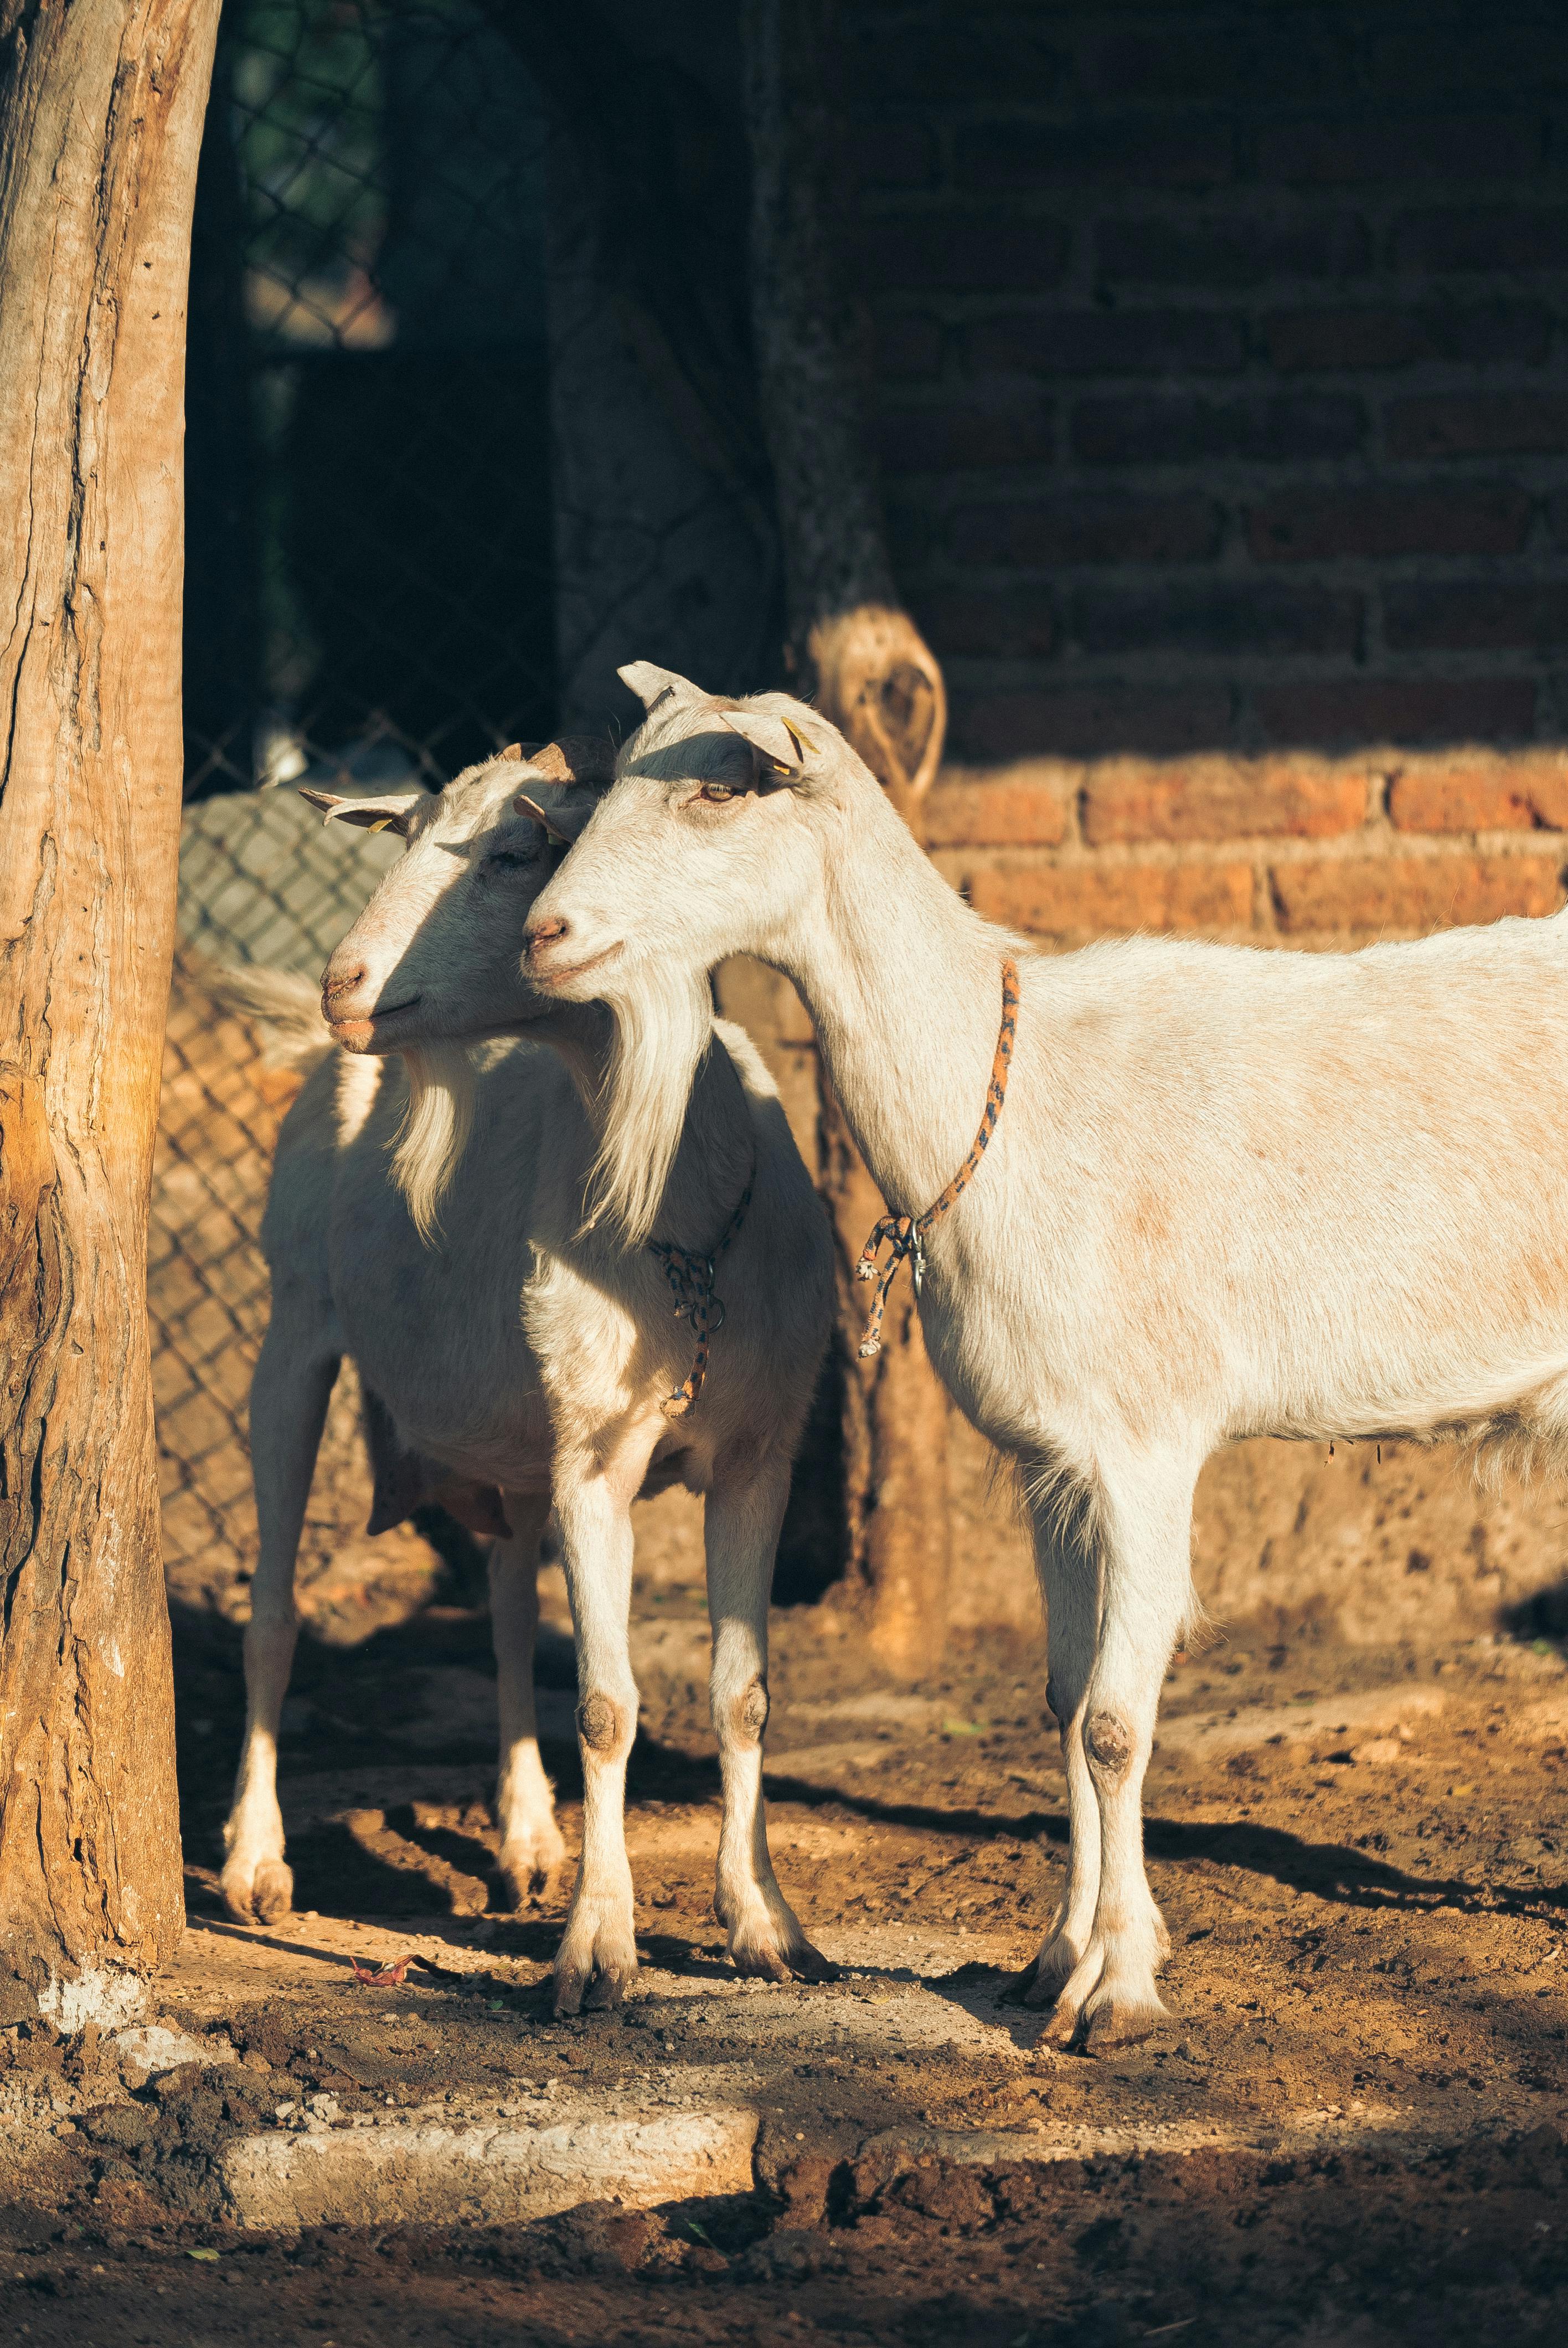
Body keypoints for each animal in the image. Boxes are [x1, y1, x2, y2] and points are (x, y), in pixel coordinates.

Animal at [218, 738, 835, 2013]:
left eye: (513, 851)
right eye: (404, 835)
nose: (344, 984)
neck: (682, 1225)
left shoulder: (757, 1451)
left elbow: (742, 1691)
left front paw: (766, 1926)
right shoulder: (595, 1458)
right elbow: (605, 1705)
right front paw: (598, 1951)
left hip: (512, 1435)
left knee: (505, 1609)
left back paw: (527, 1840)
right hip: (293, 1334)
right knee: (274, 1612)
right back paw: (257, 1864)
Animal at [521, 661, 1568, 2048]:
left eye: (719, 788)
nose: (543, 932)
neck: (1006, 1095)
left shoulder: (1149, 1442)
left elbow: (1121, 1723)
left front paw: (1116, 1993)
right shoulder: (1050, 1460)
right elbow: (1069, 1705)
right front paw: (1055, 1958)